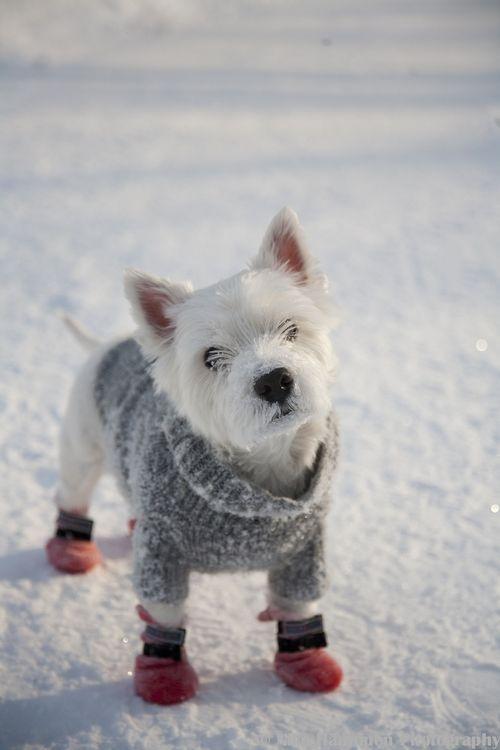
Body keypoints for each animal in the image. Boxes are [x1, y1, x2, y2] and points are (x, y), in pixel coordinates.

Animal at [47, 209, 344, 708]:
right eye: (211, 357)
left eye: (291, 329)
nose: (274, 381)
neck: (261, 469)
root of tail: (111, 342)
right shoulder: (162, 553)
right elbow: (165, 615)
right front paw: (163, 679)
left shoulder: (304, 554)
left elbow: (296, 605)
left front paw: (306, 663)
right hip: (81, 449)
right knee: (73, 495)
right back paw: (70, 550)